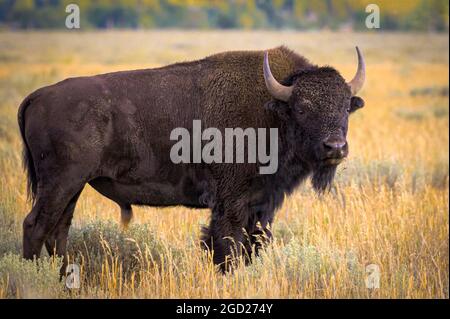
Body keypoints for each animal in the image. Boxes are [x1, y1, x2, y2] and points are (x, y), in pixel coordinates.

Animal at [19, 45, 366, 272]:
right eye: (302, 108)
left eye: (345, 107)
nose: (335, 147)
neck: (273, 110)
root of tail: (38, 95)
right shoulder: (231, 203)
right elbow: (227, 245)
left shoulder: (262, 204)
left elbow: (253, 243)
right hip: (61, 183)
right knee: (36, 226)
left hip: (73, 187)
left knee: (59, 230)